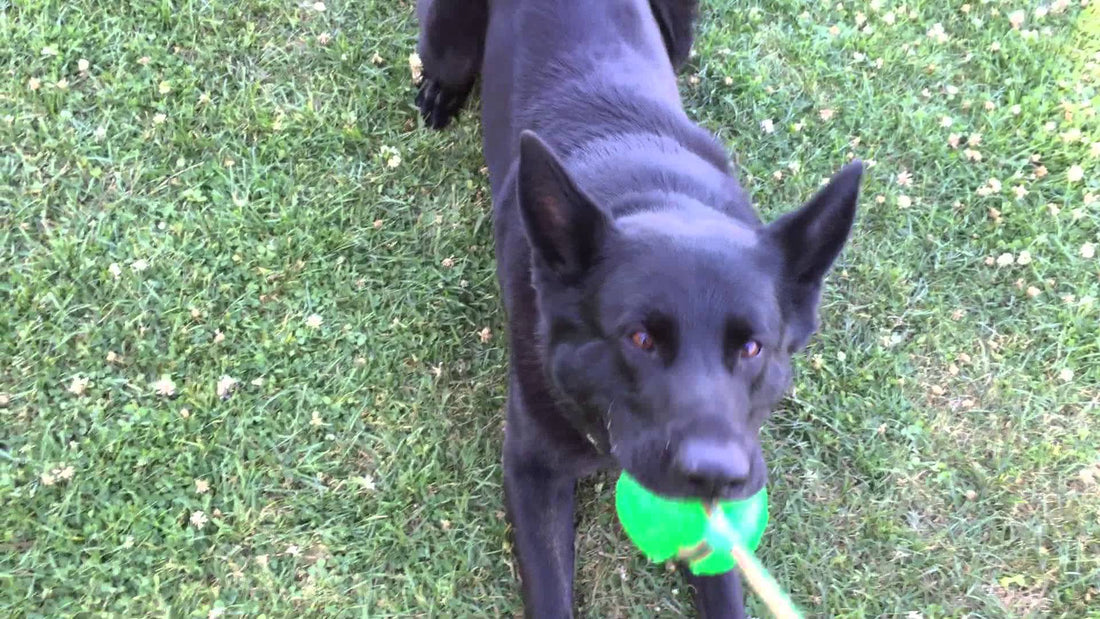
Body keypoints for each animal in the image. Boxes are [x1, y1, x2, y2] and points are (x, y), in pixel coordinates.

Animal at [415, 2, 862, 615]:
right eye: (641, 339)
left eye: (752, 348)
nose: (716, 475)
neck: (654, 194)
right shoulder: (530, 469)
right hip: (448, 43)